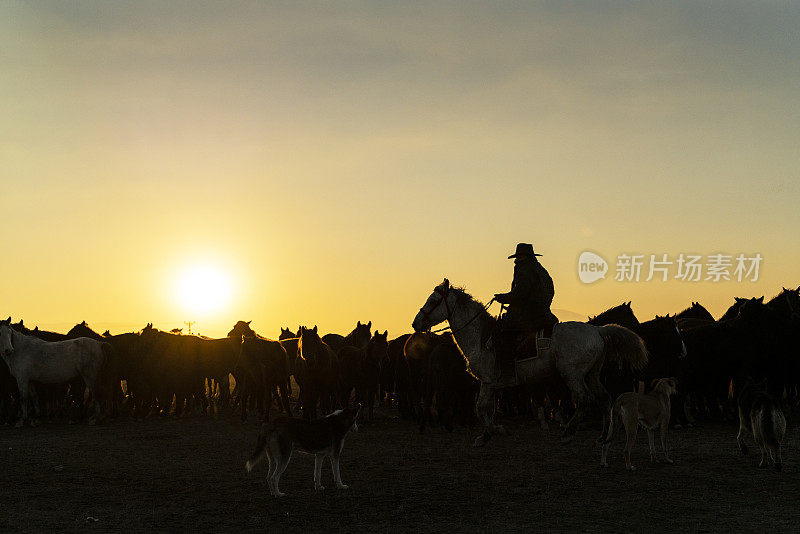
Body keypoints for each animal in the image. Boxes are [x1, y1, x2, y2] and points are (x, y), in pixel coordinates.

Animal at [410, 280, 648, 448]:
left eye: (432, 301)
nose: (415, 323)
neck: (480, 336)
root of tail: (597, 330)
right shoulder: (492, 385)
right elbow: (488, 409)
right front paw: (490, 433)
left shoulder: (487, 381)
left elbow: (481, 407)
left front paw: (491, 433)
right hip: (591, 374)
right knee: (604, 398)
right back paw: (603, 437)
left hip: (572, 374)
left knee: (583, 399)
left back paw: (568, 434)